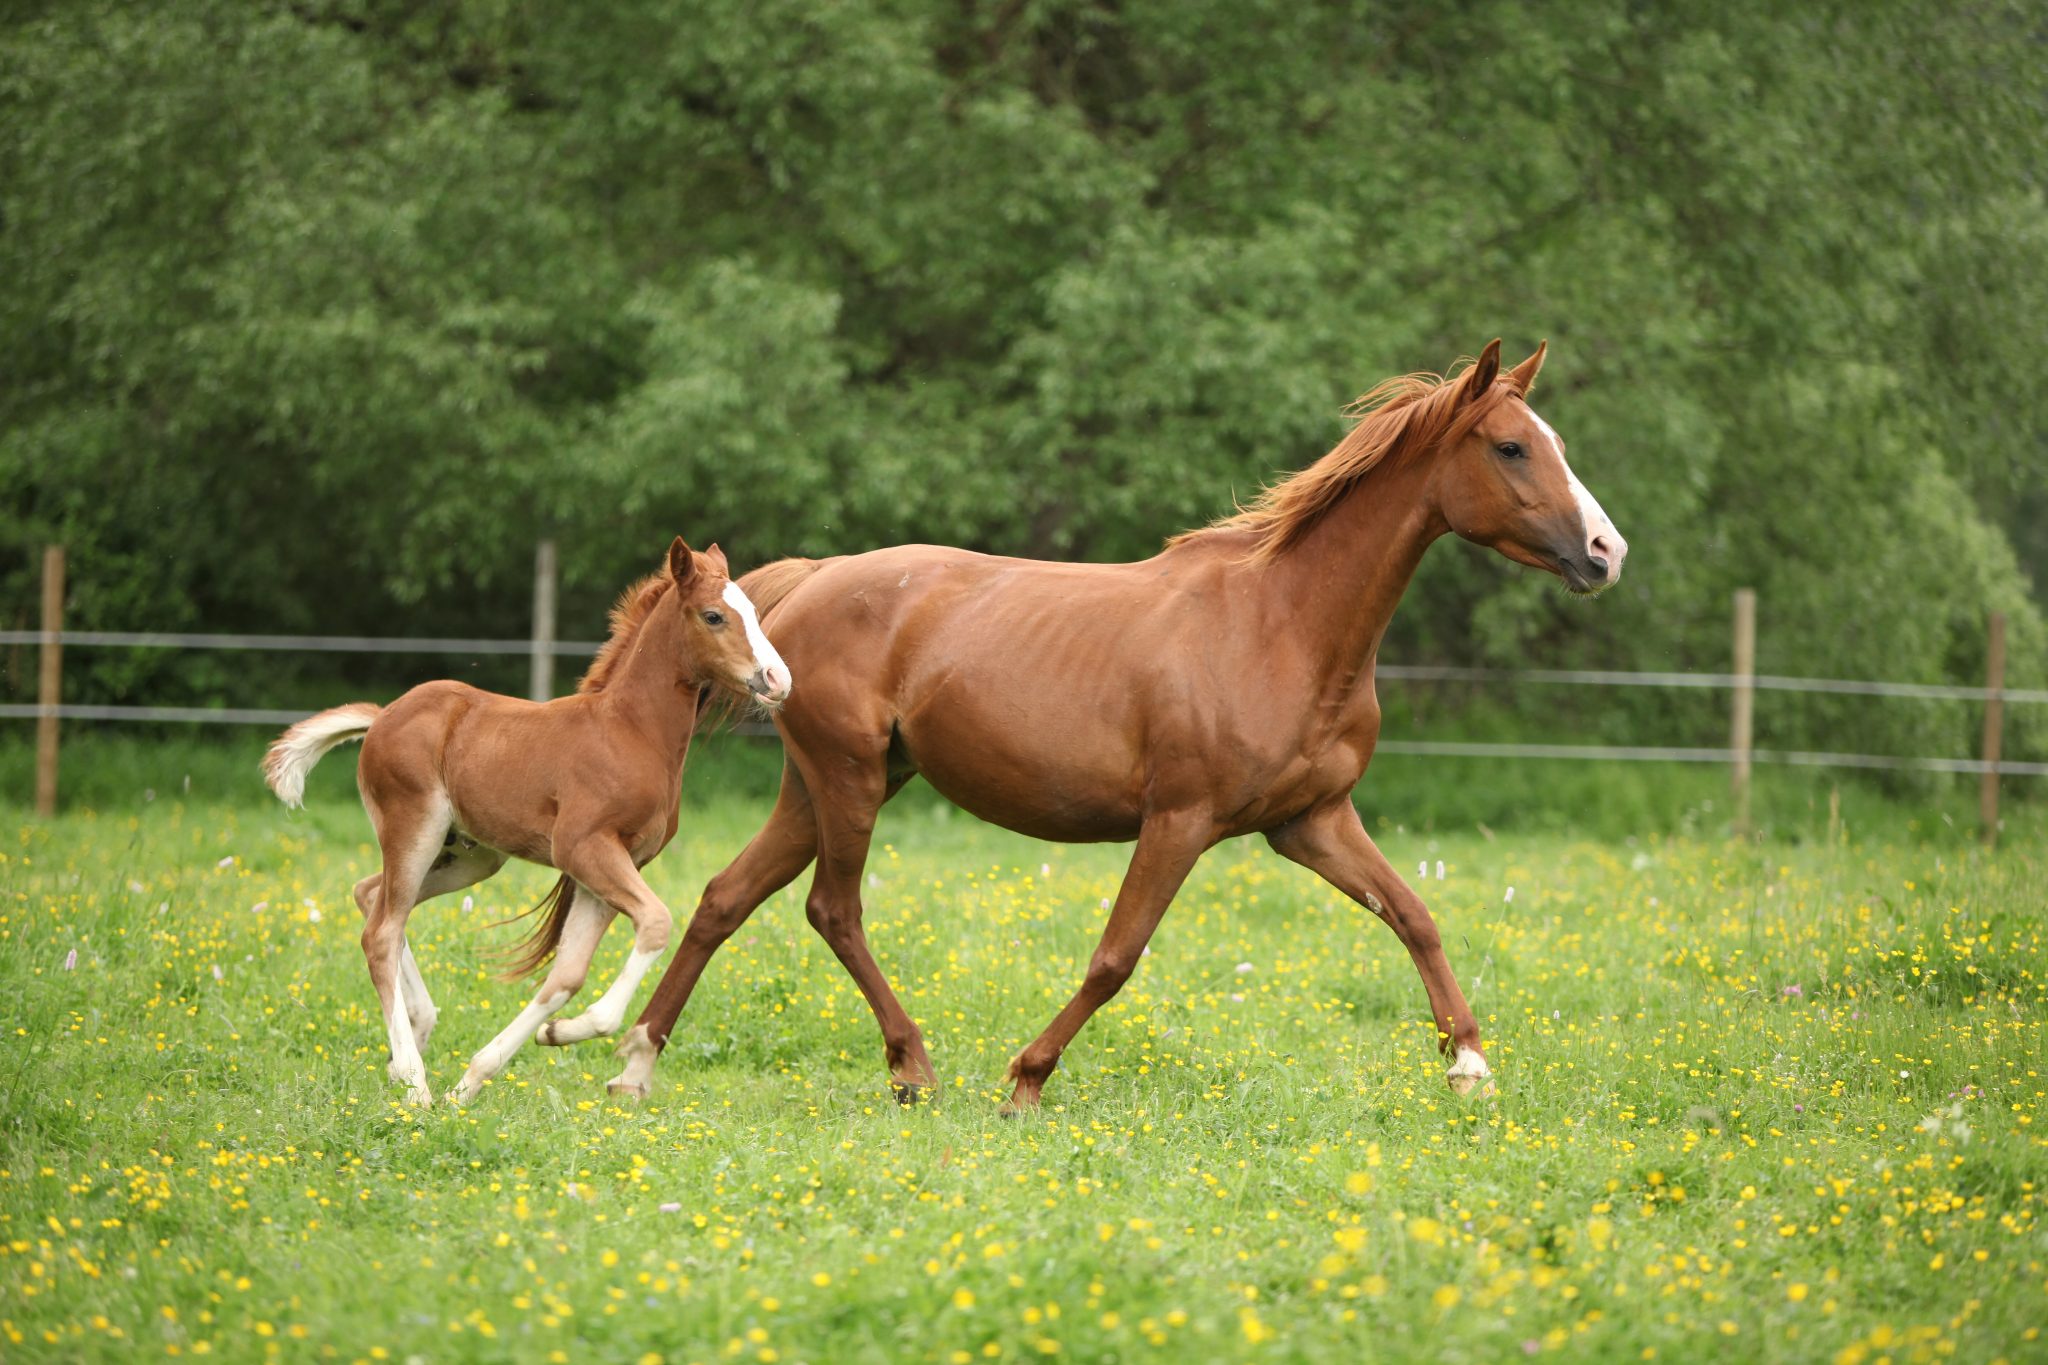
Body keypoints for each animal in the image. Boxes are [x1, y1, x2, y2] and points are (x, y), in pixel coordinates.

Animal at [261, 537, 791, 1107]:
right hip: (415, 829)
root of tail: (383, 715)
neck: (631, 732)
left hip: (471, 857)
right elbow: (654, 923)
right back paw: (414, 1081)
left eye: (755, 612)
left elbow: (566, 976)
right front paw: (589, 1034)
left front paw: (500, 1065)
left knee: (370, 896)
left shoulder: (611, 868)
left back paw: (417, 1033)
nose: (777, 679)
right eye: (714, 616)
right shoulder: (584, 849)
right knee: (381, 932)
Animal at [593, 339, 1624, 1110]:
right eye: (1511, 448)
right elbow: (1115, 958)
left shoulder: (1313, 822)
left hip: (831, 785)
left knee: (726, 898)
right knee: (832, 910)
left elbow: (1415, 914)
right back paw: (912, 1067)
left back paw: (637, 1064)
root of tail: (810, 584)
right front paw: (1025, 1080)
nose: (1606, 552)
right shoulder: (1181, 821)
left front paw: (1471, 1063)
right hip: (847, 781)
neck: (1283, 625)